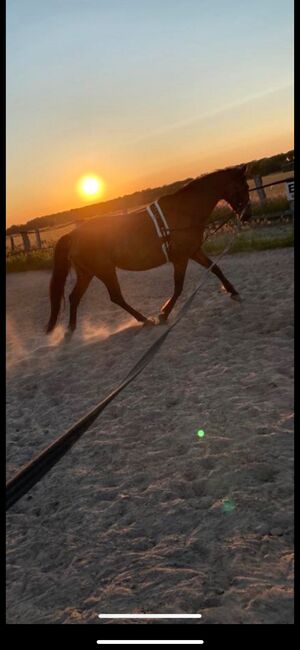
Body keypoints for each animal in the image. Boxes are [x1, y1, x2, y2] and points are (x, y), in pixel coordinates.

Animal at [45, 162, 251, 336]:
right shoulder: (180, 258)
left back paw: (71, 330)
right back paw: (145, 320)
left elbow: (216, 268)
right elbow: (178, 286)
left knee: (74, 297)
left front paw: (234, 292)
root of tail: (74, 235)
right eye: (244, 187)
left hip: (87, 273)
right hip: (104, 270)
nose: (247, 216)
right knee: (115, 296)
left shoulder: (193, 251)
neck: (183, 211)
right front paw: (163, 314)